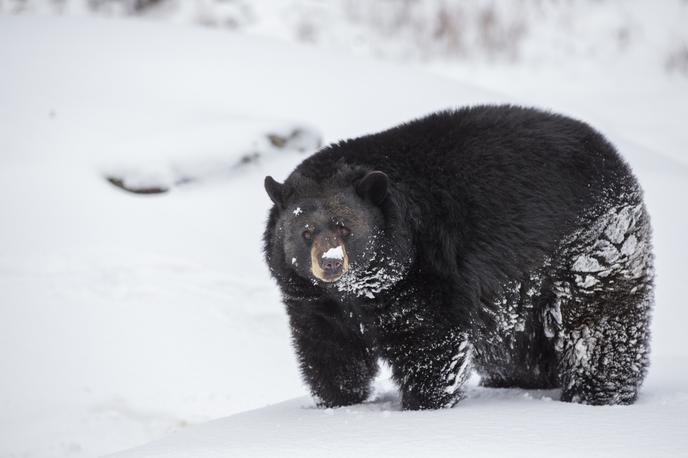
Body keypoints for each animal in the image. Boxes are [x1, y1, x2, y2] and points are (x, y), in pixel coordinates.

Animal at [264, 105, 656, 410]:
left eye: (345, 228)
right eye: (306, 232)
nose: (330, 263)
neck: (360, 290)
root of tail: (613, 155)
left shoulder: (425, 270)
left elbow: (429, 341)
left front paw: (423, 403)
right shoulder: (314, 302)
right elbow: (329, 352)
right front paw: (339, 403)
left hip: (591, 244)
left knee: (598, 324)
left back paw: (598, 393)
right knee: (516, 348)